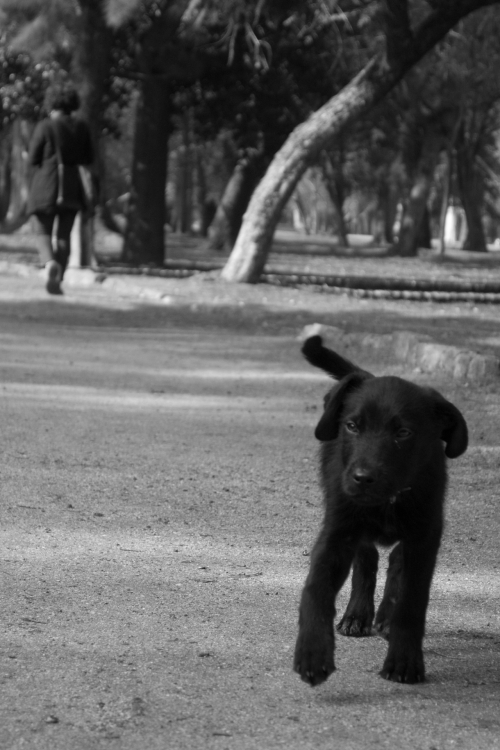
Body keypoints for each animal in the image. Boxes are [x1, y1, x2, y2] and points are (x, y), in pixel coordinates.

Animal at [292, 332, 468, 684]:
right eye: (352, 426)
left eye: (403, 433)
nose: (362, 478)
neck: (388, 500)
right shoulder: (338, 530)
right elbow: (316, 590)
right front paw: (312, 652)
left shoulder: (424, 536)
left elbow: (411, 602)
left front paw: (404, 661)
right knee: (367, 557)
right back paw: (357, 615)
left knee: (396, 561)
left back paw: (384, 618)